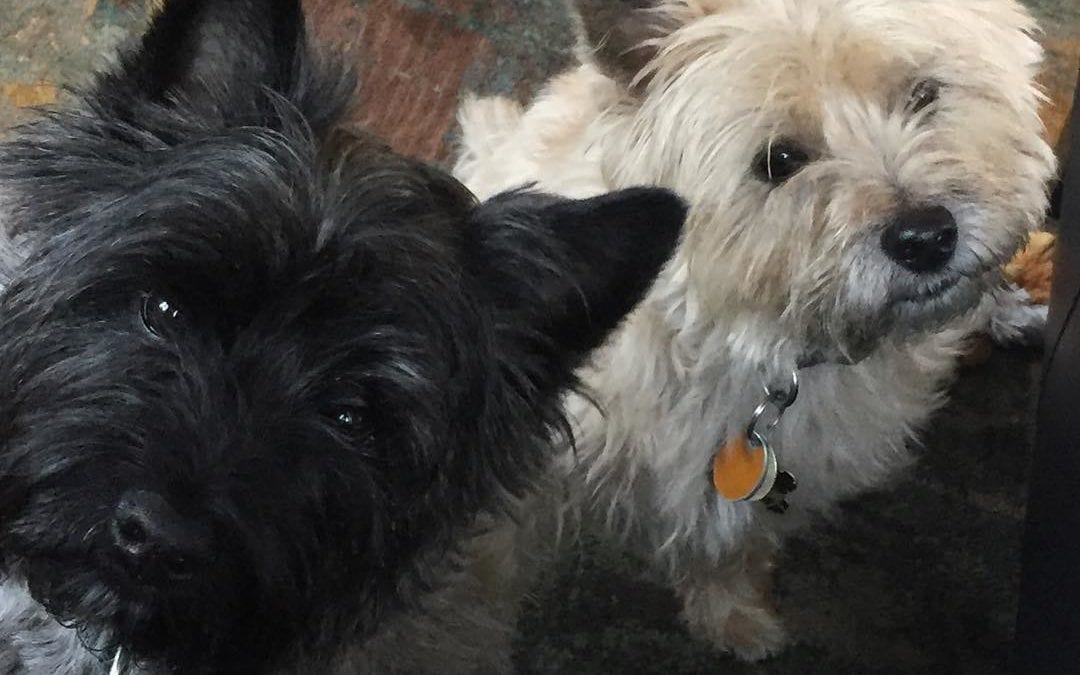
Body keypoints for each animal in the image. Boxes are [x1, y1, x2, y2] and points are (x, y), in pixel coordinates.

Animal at [453, 0, 1054, 665]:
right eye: (777, 162)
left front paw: (734, 617)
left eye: (924, 94)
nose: (925, 238)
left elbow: (731, 544)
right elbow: (468, 601)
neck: (758, 344)